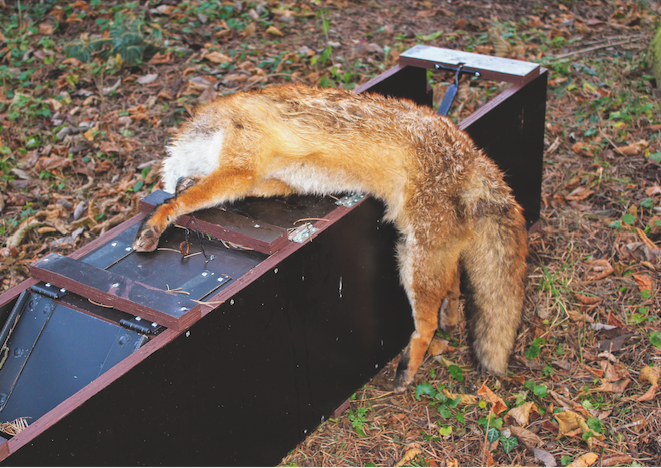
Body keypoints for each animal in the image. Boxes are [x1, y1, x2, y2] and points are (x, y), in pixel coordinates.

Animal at [133, 85, 524, 392]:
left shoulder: (239, 170)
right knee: (454, 281)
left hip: (416, 260)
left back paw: (406, 370)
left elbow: (183, 201)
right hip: (431, 249)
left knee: (425, 325)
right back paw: (452, 314)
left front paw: (155, 224)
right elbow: (203, 191)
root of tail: (475, 157)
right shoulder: (268, 181)